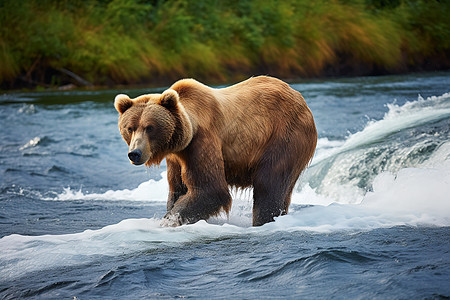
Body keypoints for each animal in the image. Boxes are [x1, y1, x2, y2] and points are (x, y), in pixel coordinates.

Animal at [113, 76, 316, 226]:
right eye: (130, 128)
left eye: (150, 127)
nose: (135, 153)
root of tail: (300, 98)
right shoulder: (176, 158)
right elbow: (177, 188)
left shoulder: (202, 142)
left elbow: (211, 190)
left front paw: (169, 221)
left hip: (285, 135)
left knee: (269, 182)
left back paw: (263, 220)